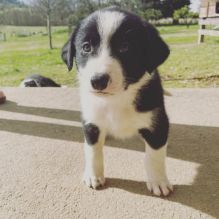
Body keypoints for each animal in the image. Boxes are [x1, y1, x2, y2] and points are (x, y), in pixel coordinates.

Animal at [61, 6, 173, 196]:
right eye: (86, 47)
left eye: (124, 47)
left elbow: (155, 156)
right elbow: (92, 151)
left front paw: (158, 181)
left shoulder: (157, 123)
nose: (98, 81)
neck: (116, 100)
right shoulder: (91, 122)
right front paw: (94, 175)